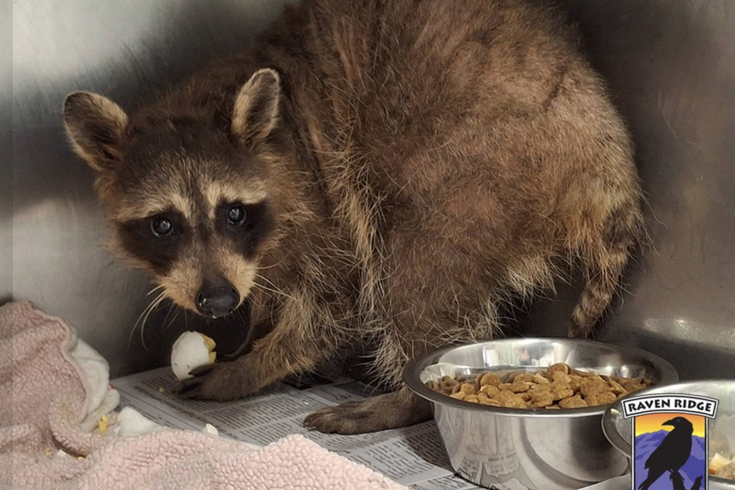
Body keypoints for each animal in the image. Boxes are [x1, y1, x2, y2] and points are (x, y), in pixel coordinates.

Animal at [62, 0, 645, 434]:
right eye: (162, 224)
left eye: (233, 213)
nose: (218, 302)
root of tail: (601, 151)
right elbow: (270, 288)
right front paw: (256, 330)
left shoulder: (325, 195)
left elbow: (335, 304)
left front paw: (252, 366)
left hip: (478, 162)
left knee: (415, 269)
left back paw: (408, 398)